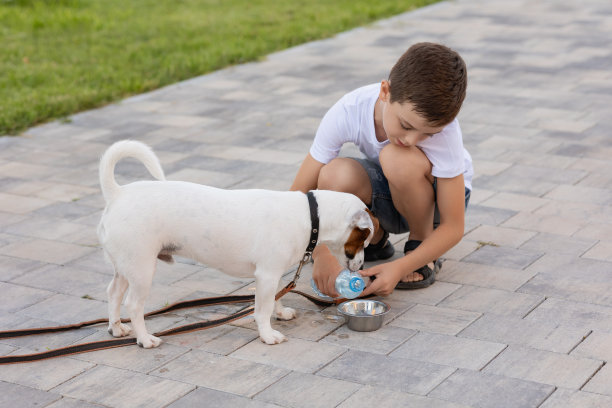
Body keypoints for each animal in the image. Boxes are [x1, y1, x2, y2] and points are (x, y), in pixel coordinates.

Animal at [97, 140, 372, 348]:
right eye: (364, 240)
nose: (361, 268)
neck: (310, 215)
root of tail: (118, 194)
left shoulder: (273, 275)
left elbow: (276, 296)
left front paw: (281, 313)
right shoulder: (267, 274)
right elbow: (262, 309)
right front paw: (267, 334)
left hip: (126, 267)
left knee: (113, 292)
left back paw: (116, 328)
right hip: (142, 269)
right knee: (133, 305)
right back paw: (144, 339)